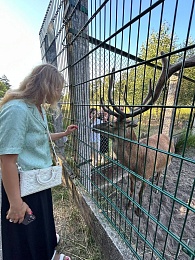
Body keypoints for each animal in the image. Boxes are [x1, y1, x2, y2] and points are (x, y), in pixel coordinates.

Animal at [93, 51, 195, 217]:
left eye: (111, 124)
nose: (94, 127)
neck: (136, 162)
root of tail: (166, 135)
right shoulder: (130, 175)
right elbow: (131, 190)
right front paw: (128, 205)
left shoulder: (146, 175)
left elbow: (140, 193)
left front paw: (139, 211)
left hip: (168, 161)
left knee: (161, 173)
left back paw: (157, 187)